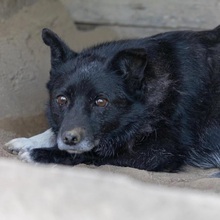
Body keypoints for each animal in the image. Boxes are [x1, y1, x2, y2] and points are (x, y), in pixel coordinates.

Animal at [5, 26, 220, 172]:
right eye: (62, 99)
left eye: (101, 102)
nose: (70, 139)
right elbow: (55, 132)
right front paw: (28, 140)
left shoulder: (157, 153)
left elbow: (93, 152)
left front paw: (39, 154)